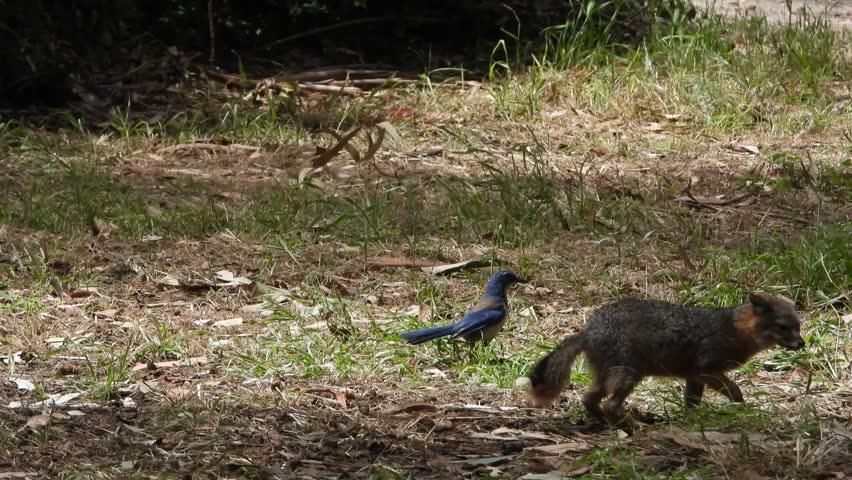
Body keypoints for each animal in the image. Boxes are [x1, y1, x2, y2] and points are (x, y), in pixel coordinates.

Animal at [527, 293, 805, 426]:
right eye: (783, 328)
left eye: (798, 327)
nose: (802, 344)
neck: (732, 329)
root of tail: (587, 329)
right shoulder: (707, 370)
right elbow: (735, 390)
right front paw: (741, 409)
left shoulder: (694, 377)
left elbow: (691, 403)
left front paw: (694, 420)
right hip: (630, 374)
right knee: (611, 404)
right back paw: (634, 425)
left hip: (608, 376)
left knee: (589, 400)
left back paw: (608, 424)